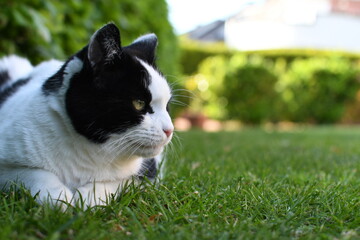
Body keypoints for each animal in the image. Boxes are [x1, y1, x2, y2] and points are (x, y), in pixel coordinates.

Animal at [0, 23, 174, 206]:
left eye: (167, 105)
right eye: (139, 103)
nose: (170, 129)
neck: (92, 151)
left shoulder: (149, 172)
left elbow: (119, 182)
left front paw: (88, 199)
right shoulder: (7, 167)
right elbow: (35, 174)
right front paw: (58, 199)